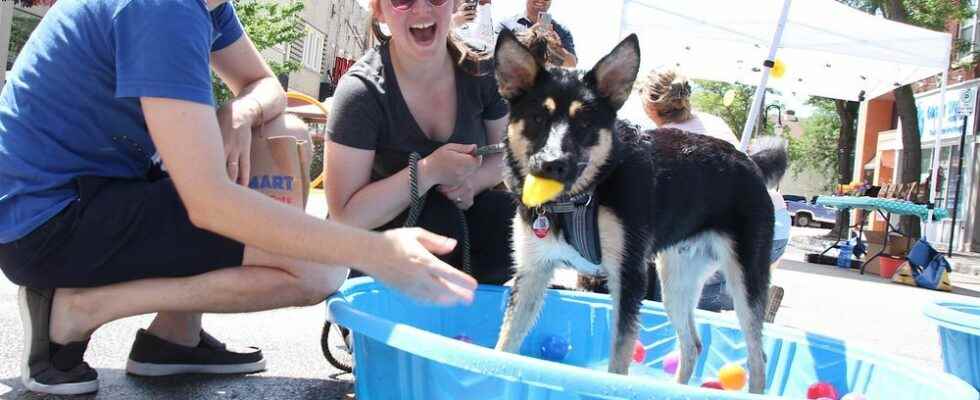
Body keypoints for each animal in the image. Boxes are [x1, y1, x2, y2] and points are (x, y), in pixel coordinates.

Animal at [494, 30, 784, 394]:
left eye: (585, 123)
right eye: (536, 119)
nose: (551, 164)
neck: (585, 195)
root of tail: (749, 162)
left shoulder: (629, 276)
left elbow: (619, 360)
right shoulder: (532, 272)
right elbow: (505, 344)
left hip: (745, 280)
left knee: (758, 357)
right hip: (676, 279)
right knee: (693, 344)